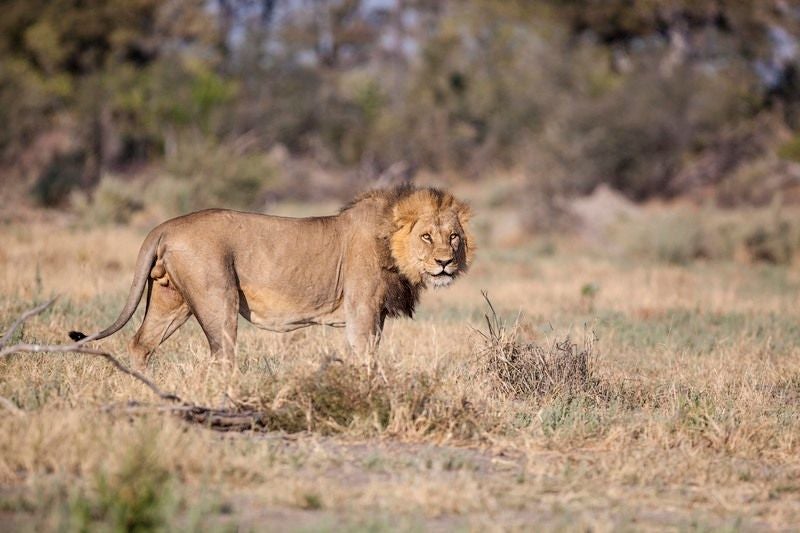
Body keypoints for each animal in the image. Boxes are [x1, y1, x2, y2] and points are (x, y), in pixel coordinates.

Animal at [69, 185, 476, 368]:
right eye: (427, 236)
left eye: (453, 237)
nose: (445, 263)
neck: (390, 243)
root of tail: (165, 226)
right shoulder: (362, 311)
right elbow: (367, 356)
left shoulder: (375, 316)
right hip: (218, 297)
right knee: (222, 353)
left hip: (173, 301)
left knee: (141, 343)